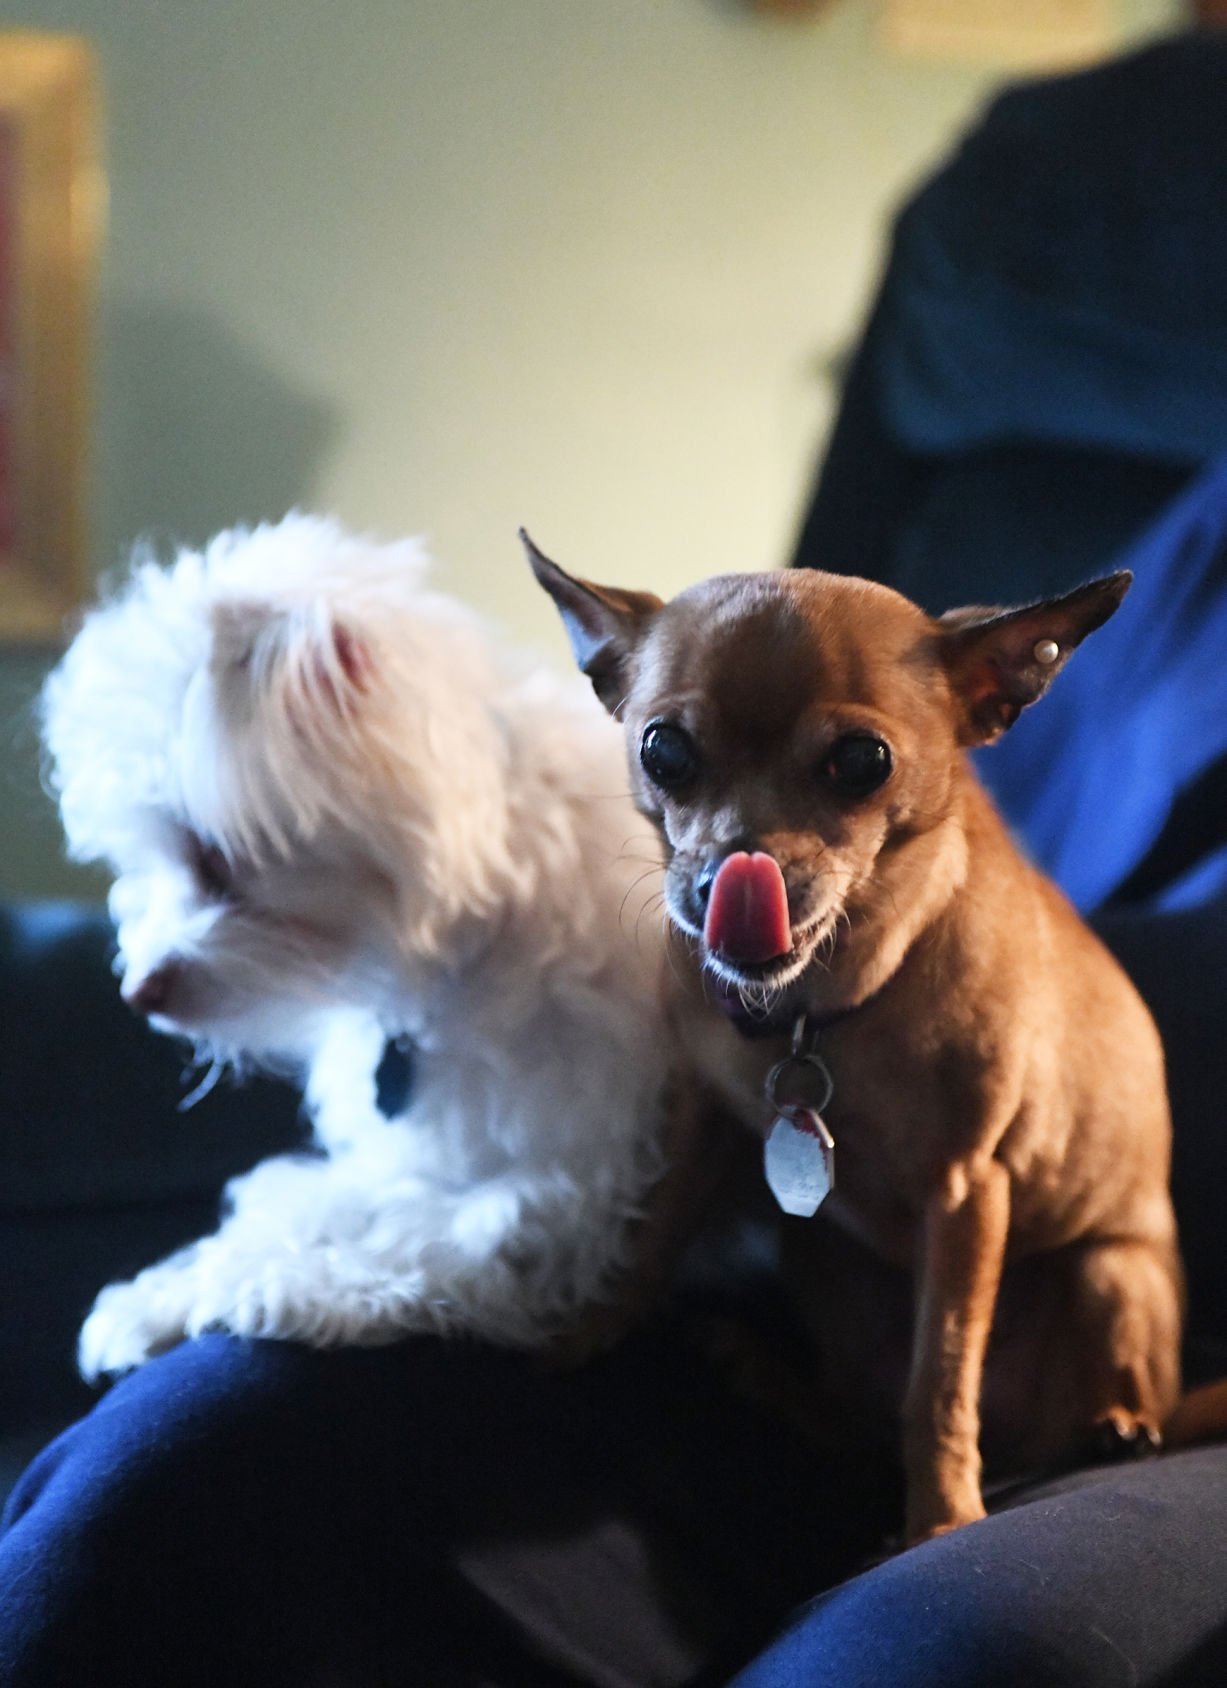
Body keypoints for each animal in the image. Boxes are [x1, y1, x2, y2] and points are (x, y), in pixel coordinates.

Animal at [43, 519, 681, 1377]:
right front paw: (157, 1295)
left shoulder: (555, 1199)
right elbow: (315, 1200)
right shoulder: (423, 1150)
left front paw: (249, 1285)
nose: (138, 991)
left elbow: (411, 1242)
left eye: (209, 857)